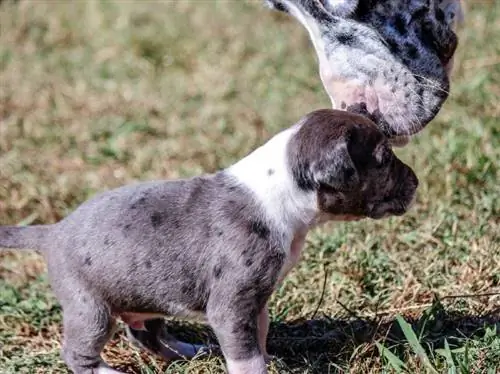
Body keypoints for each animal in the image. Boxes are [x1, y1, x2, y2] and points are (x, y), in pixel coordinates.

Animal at [0, 109, 418, 374]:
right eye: (383, 158)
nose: (416, 182)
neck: (281, 190)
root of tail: (53, 230)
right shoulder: (230, 305)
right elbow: (246, 356)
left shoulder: (255, 299)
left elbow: (258, 336)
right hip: (89, 308)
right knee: (78, 353)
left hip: (144, 295)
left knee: (147, 335)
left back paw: (187, 350)